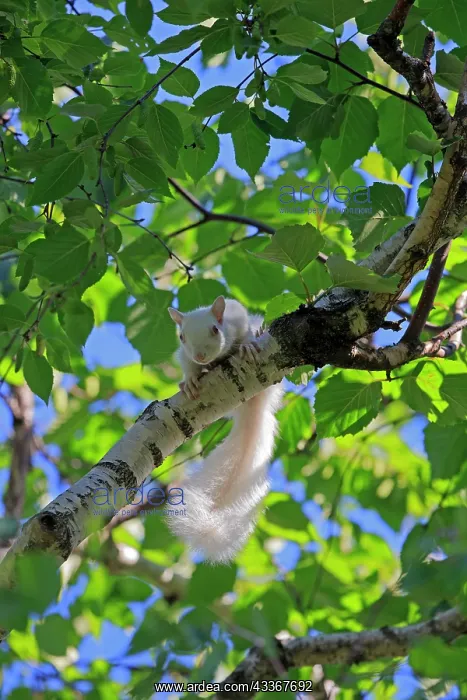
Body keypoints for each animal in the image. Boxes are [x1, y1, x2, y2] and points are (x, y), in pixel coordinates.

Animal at [167, 296, 283, 563]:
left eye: (215, 329)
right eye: (181, 337)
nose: (200, 356)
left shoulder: (238, 316)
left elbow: (246, 333)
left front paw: (248, 346)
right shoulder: (184, 356)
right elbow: (188, 367)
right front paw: (190, 380)